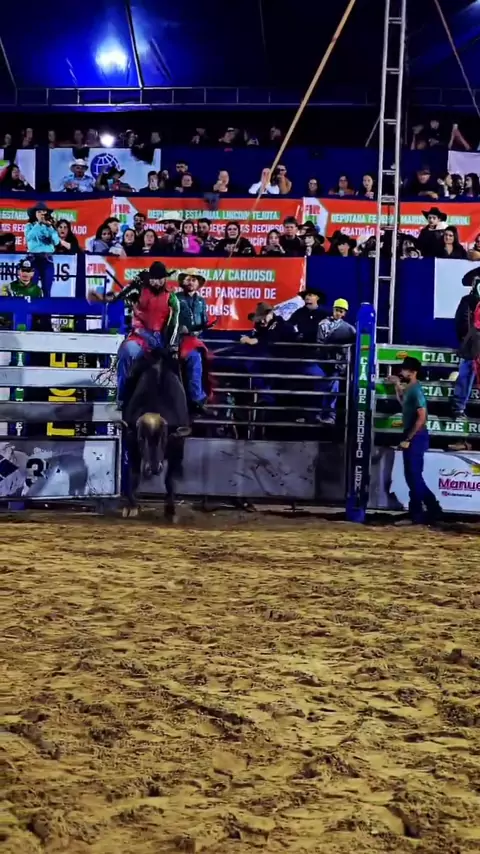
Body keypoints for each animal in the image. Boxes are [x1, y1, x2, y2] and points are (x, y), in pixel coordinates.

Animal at [121, 347, 191, 522]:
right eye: (141, 438)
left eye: (164, 438)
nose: (153, 468)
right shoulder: (131, 445)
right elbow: (133, 475)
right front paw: (131, 506)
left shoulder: (178, 448)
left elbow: (170, 479)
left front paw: (171, 509)